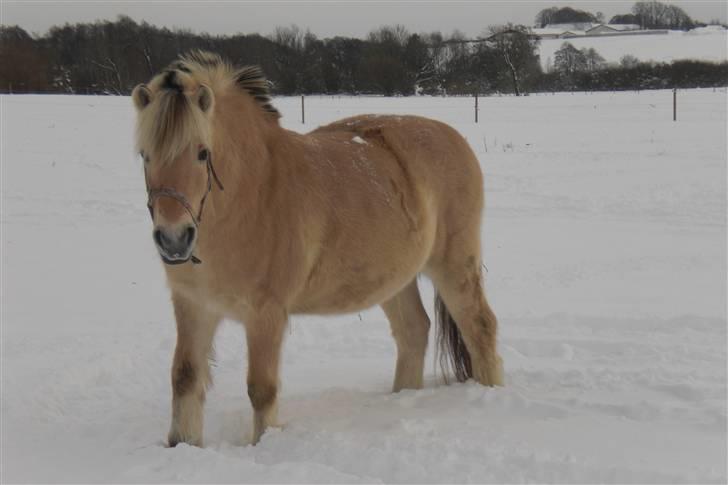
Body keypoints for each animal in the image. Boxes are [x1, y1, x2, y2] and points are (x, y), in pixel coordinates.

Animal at [132, 51, 500, 444]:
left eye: (203, 153)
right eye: (144, 155)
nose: (174, 239)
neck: (253, 192)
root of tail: (454, 137)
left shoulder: (266, 313)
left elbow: (261, 388)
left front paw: (265, 443)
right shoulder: (193, 306)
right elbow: (184, 378)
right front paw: (182, 444)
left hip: (454, 265)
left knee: (480, 327)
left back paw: (490, 393)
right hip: (395, 279)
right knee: (414, 330)